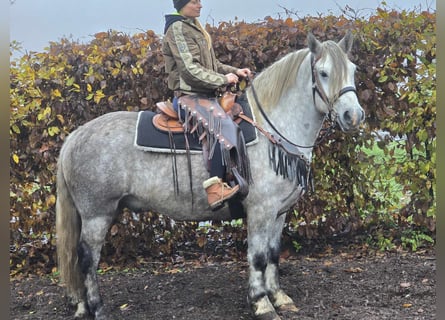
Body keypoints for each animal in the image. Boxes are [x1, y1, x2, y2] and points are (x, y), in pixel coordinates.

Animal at [55, 30, 364, 320]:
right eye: (323, 72)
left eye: (353, 69)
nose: (354, 116)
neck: (271, 128)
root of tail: (75, 136)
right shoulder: (261, 210)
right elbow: (258, 257)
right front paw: (261, 303)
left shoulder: (279, 212)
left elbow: (274, 253)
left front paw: (279, 297)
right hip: (97, 214)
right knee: (87, 258)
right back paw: (98, 307)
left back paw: (82, 306)